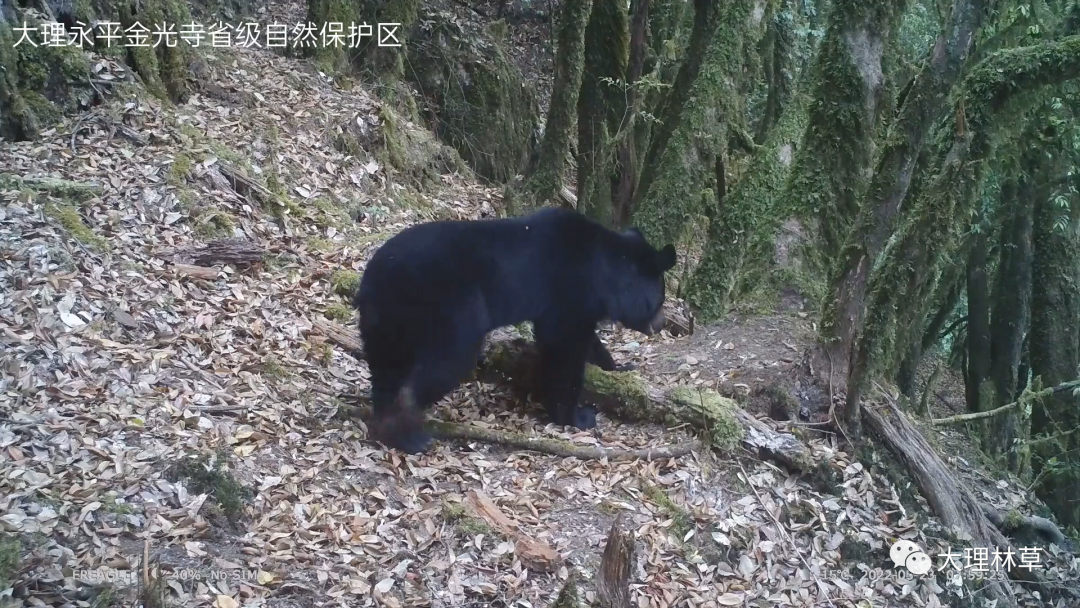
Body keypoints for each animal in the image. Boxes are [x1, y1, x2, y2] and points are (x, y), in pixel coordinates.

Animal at [353, 207, 677, 454]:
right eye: (661, 298)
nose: (661, 324)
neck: (603, 272)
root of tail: (374, 279)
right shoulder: (570, 291)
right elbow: (565, 349)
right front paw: (579, 415)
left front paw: (620, 367)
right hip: (449, 307)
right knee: (447, 361)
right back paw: (410, 436)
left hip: (387, 323)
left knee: (386, 367)